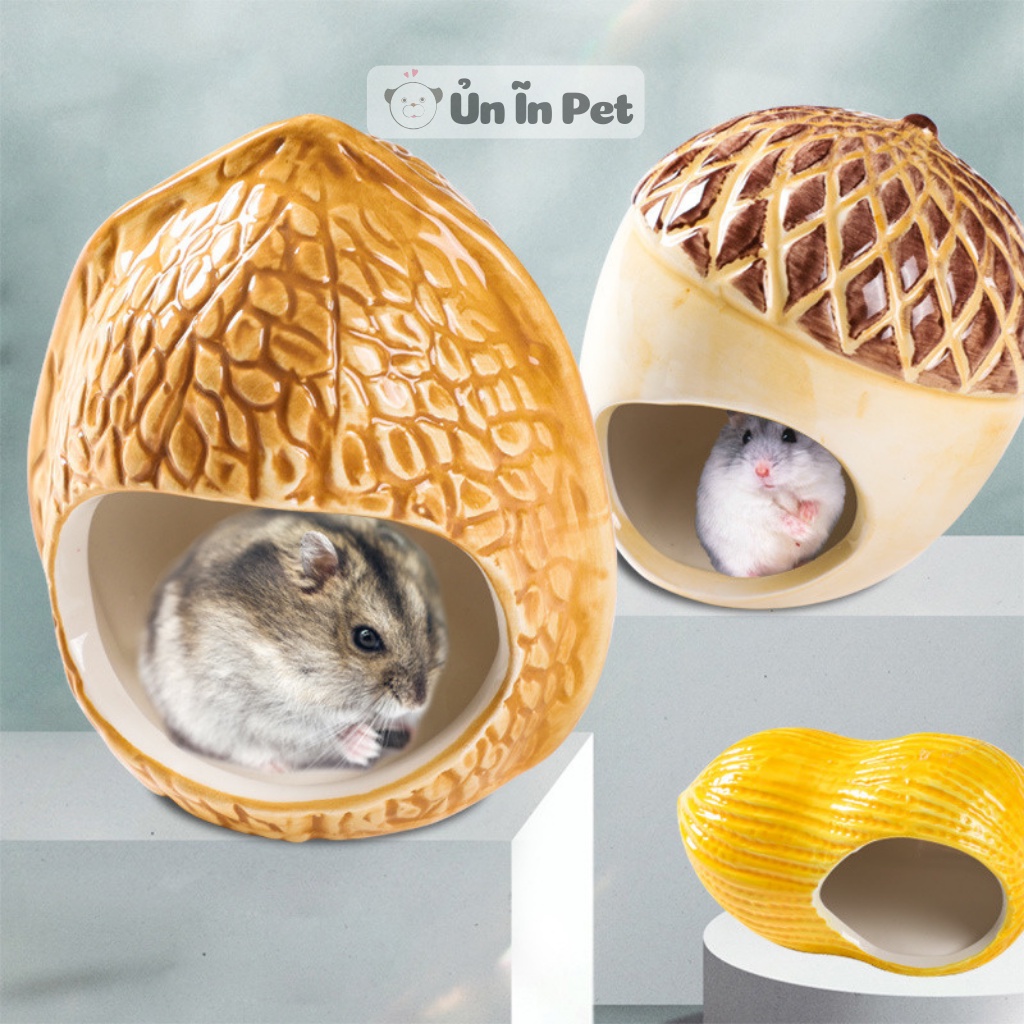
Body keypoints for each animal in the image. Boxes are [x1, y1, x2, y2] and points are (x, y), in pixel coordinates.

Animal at [138, 511, 448, 772]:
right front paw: (367, 744)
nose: (417, 703)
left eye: (428, 623)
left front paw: (406, 729)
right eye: (366, 638)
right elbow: (319, 730)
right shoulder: (261, 706)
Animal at [695, 413, 846, 578]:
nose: (761, 471)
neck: (779, 489)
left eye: (789, 435)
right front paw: (804, 531)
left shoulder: (829, 490)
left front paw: (807, 518)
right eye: (746, 437)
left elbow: (815, 502)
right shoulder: (746, 505)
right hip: (734, 559)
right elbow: (776, 516)